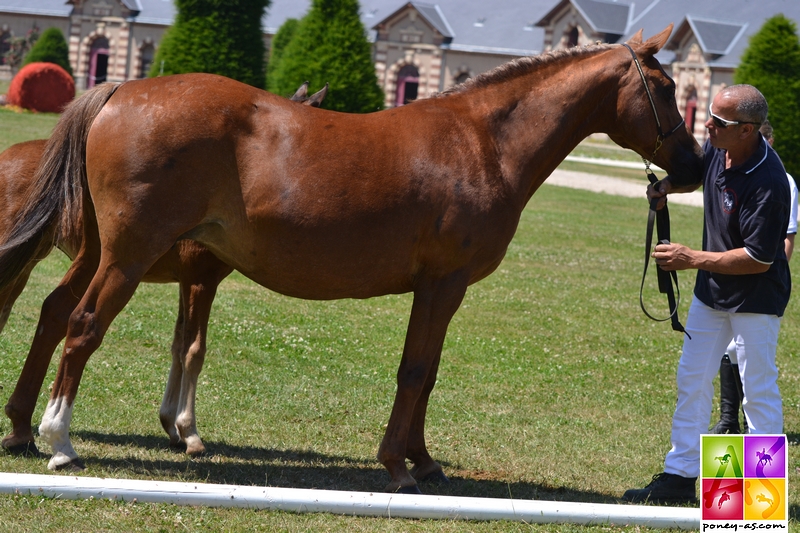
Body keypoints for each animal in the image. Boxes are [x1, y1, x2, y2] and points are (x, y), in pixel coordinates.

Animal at [0, 84, 328, 458]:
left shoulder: (185, 282)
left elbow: (178, 342)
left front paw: (171, 424)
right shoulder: (200, 280)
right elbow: (193, 348)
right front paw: (190, 432)